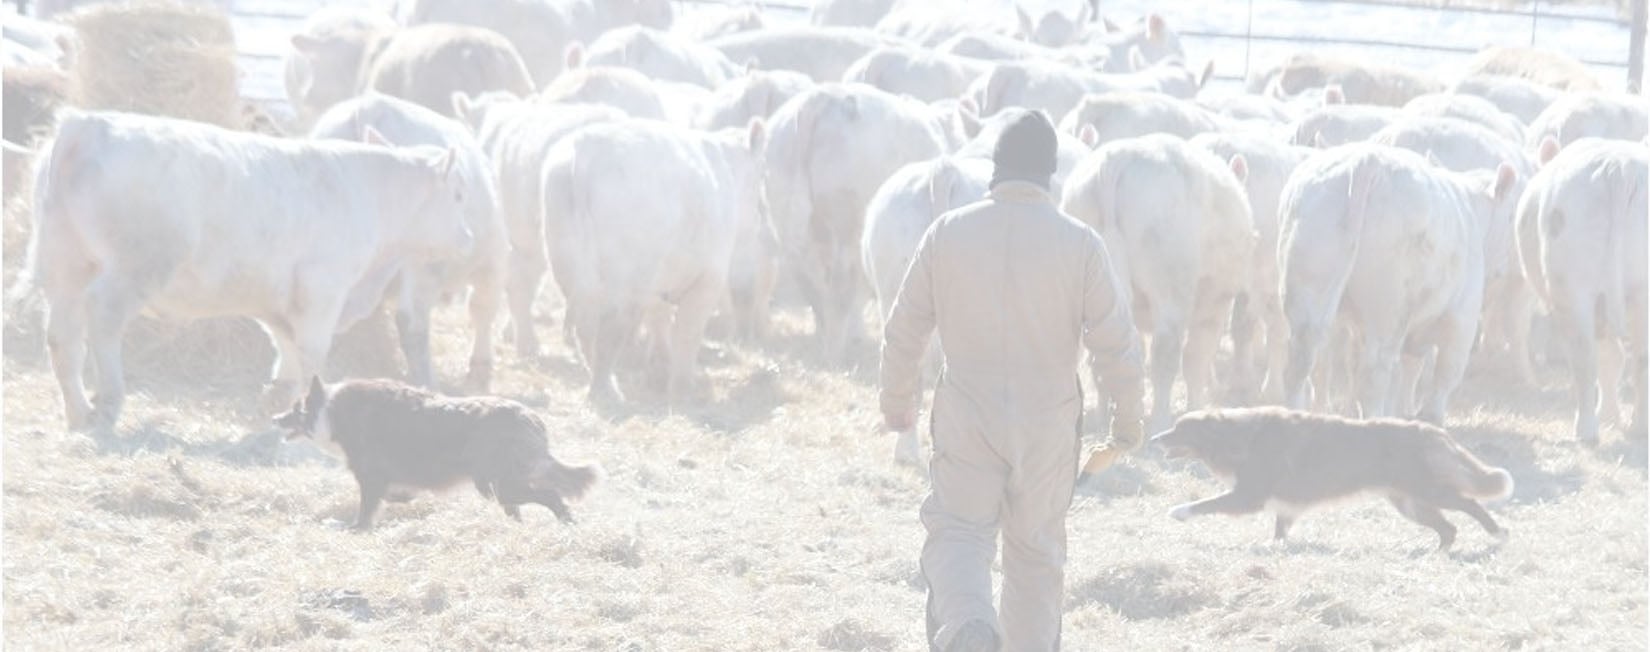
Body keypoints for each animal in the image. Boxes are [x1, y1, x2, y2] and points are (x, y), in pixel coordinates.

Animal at [23, 110, 475, 430]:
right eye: (457, 194)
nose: (470, 236)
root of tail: (87, 124)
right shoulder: (322, 289)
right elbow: (311, 352)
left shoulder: (278, 300)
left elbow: (286, 348)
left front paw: (278, 403)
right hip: (135, 267)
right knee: (102, 320)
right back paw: (109, 402)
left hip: (64, 265)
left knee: (63, 338)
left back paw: (79, 412)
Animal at [309, 93, 508, 390]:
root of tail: (370, 108)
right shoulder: (493, 262)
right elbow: (483, 309)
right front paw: (480, 369)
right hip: (424, 263)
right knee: (412, 322)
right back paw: (427, 382)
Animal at [1060, 134, 1256, 433]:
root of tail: (1117, 160)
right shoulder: (1215, 301)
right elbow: (1196, 358)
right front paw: (1196, 407)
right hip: (1172, 287)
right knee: (1165, 355)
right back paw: (1160, 420)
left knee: (1107, 356)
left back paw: (1106, 418)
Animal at [1278, 144, 1519, 424]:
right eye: (1511, 216)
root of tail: (1367, 161)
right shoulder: (1462, 317)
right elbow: (1443, 373)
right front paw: (1430, 417)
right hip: (1390, 309)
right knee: (1375, 373)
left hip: (1310, 287)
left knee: (1301, 361)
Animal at [1516, 138, 1649, 443]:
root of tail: (1618, 167)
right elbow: (1614, 358)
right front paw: (1611, 415)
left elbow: (1607, 359)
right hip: (1640, 294)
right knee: (1640, 360)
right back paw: (1640, 426)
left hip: (1572, 292)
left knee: (1584, 359)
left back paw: (1586, 429)